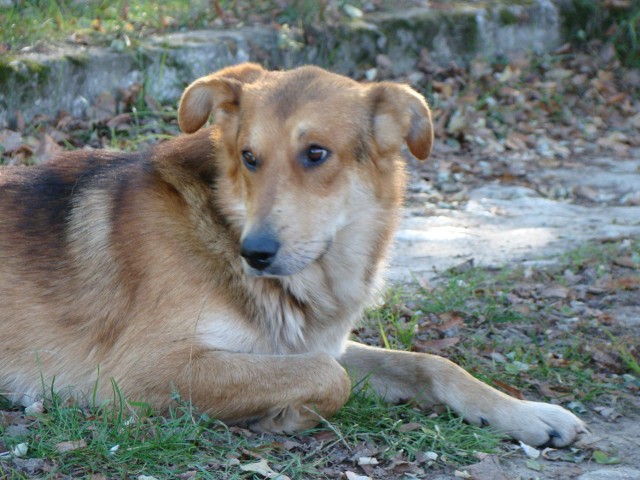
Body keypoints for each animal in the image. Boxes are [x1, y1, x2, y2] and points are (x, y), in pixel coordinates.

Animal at [0, 62, 584, 446]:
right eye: (249, 157)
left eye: (316, 153)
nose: (254, 253)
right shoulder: (142, 371)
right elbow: (330, 378)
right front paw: (283, 416)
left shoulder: (312, 342)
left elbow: (432, 363)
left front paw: (526, 413)